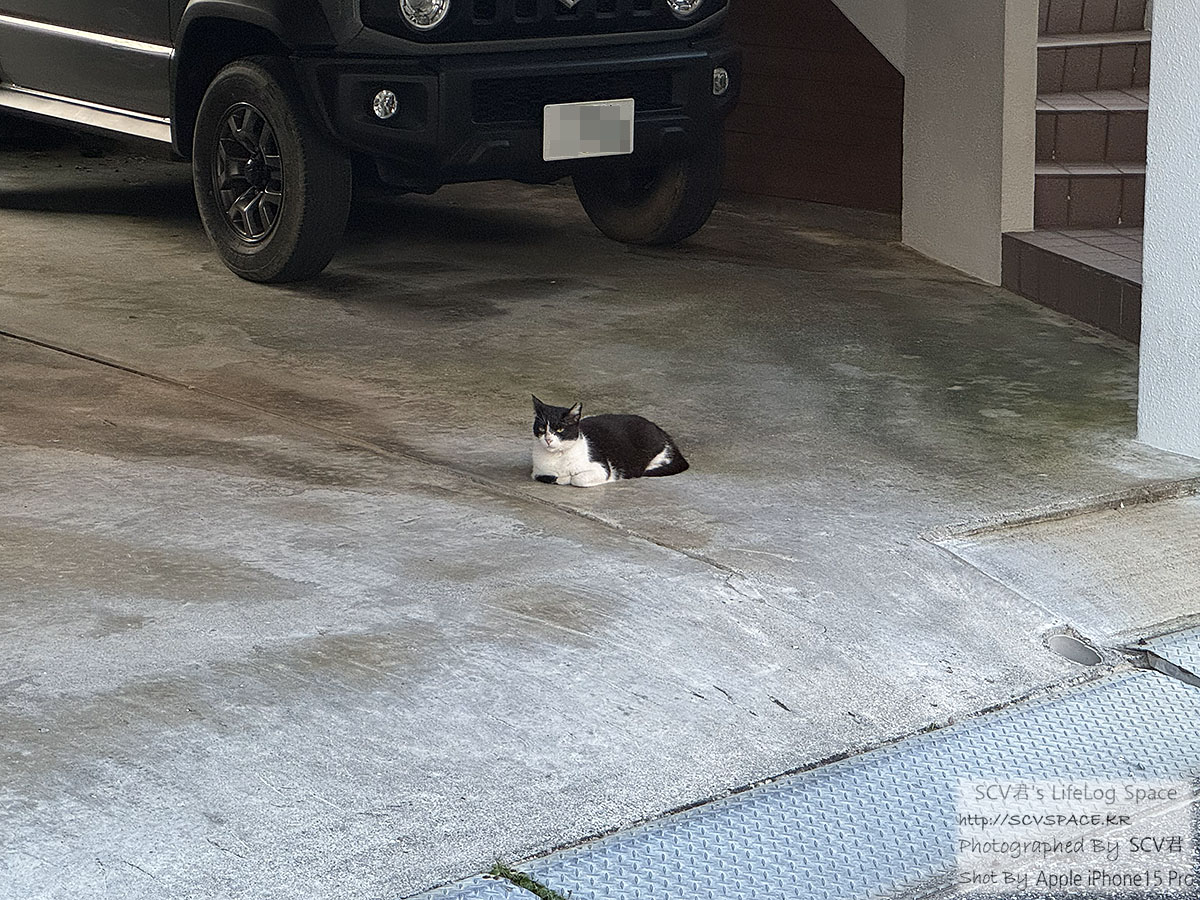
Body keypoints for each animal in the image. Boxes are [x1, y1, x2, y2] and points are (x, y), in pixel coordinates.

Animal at [530, 395, 689, 487]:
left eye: (560, 429)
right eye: (542, 428)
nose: (548, 439)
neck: (558, 458)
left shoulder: (601, 467)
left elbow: (577, 479)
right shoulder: (537, 472)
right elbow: (549, 477)